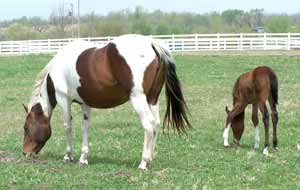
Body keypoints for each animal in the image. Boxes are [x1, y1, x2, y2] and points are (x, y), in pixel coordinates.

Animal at [21, 34, 190, 171]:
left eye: (26, 128)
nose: (25, 152)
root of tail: (151, 43)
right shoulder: (85, 103)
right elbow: (85, 127)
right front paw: (83, 158)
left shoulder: (64, 99)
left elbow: (67, 126)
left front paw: (68, 156)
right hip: (152, 99)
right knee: (155, 124)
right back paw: (150, 161)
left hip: (138, 98)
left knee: (148, 125)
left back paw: (143, 163)